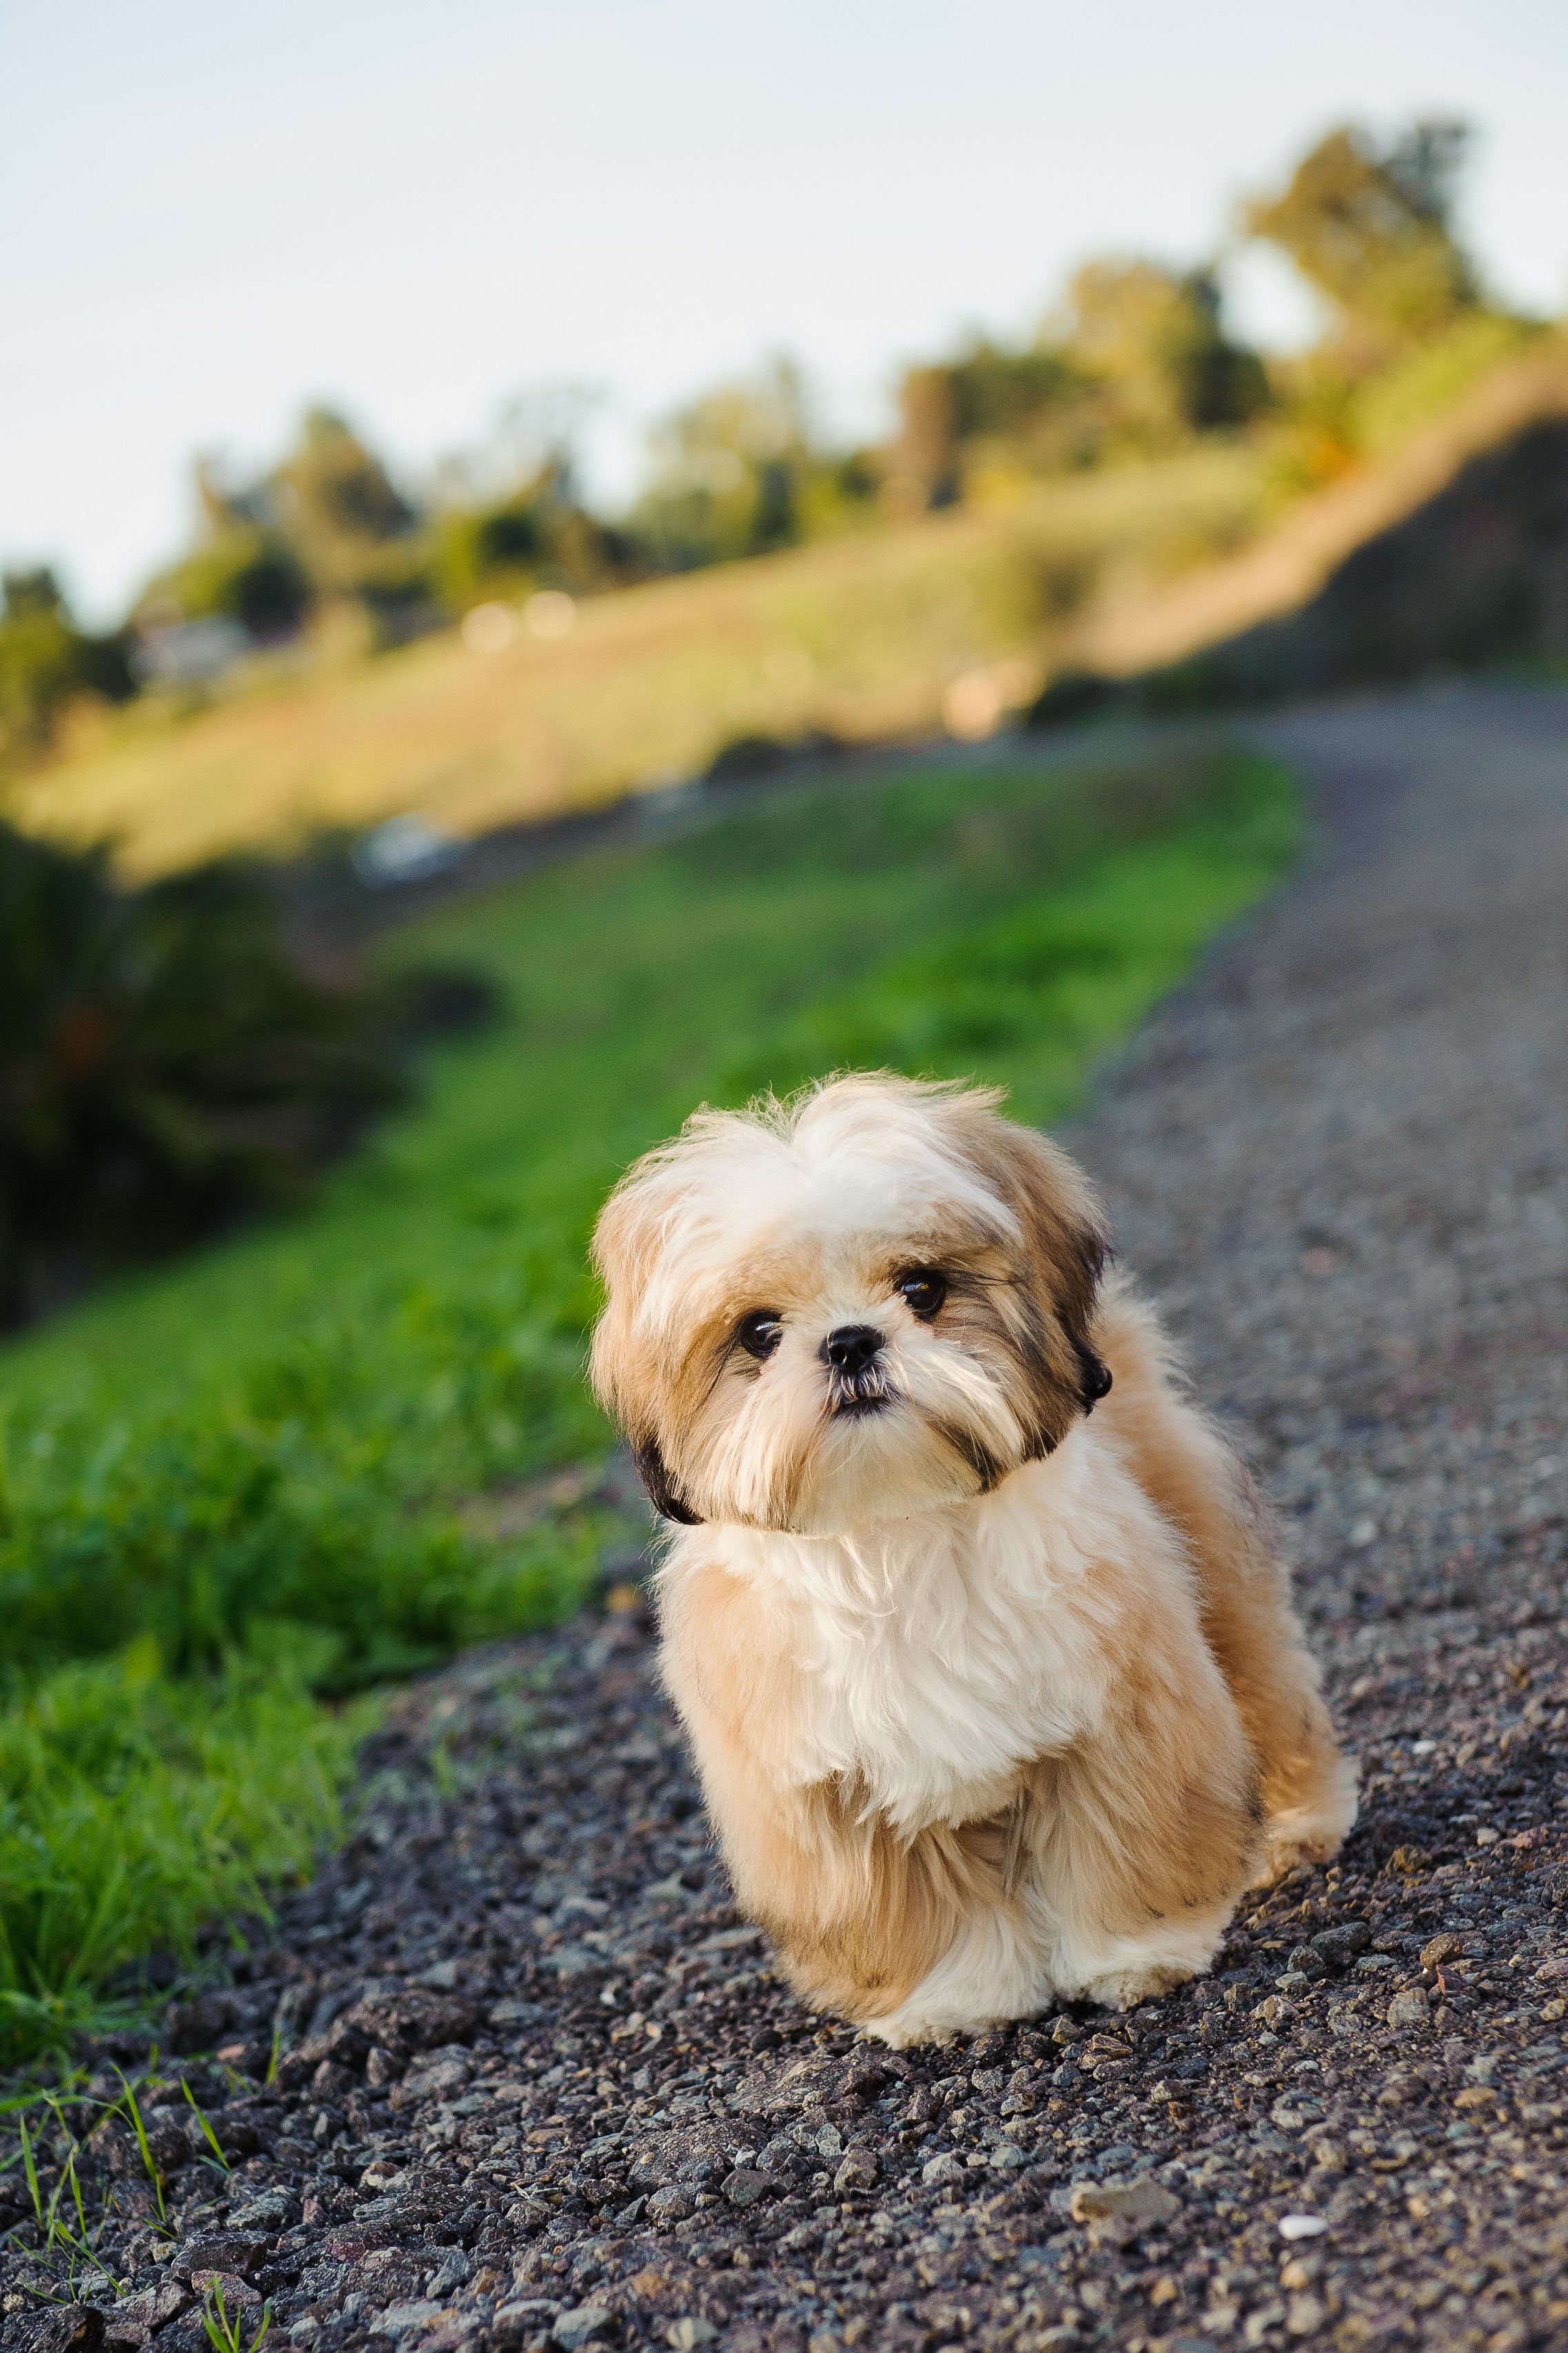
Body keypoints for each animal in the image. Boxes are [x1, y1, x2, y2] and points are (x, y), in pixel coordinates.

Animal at [587, 1073, 1354, 2042]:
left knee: (1267, 1688)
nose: (850, 1340)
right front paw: (954, 2002)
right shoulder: (832, 1799)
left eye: (922, 1288)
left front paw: (1134, 1956)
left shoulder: (1121, 1716)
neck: (899, 1527)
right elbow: (916, 1913)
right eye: (759, 1333)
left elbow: (1126, 1847)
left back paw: (1300, 1827)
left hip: (1212, 1569)